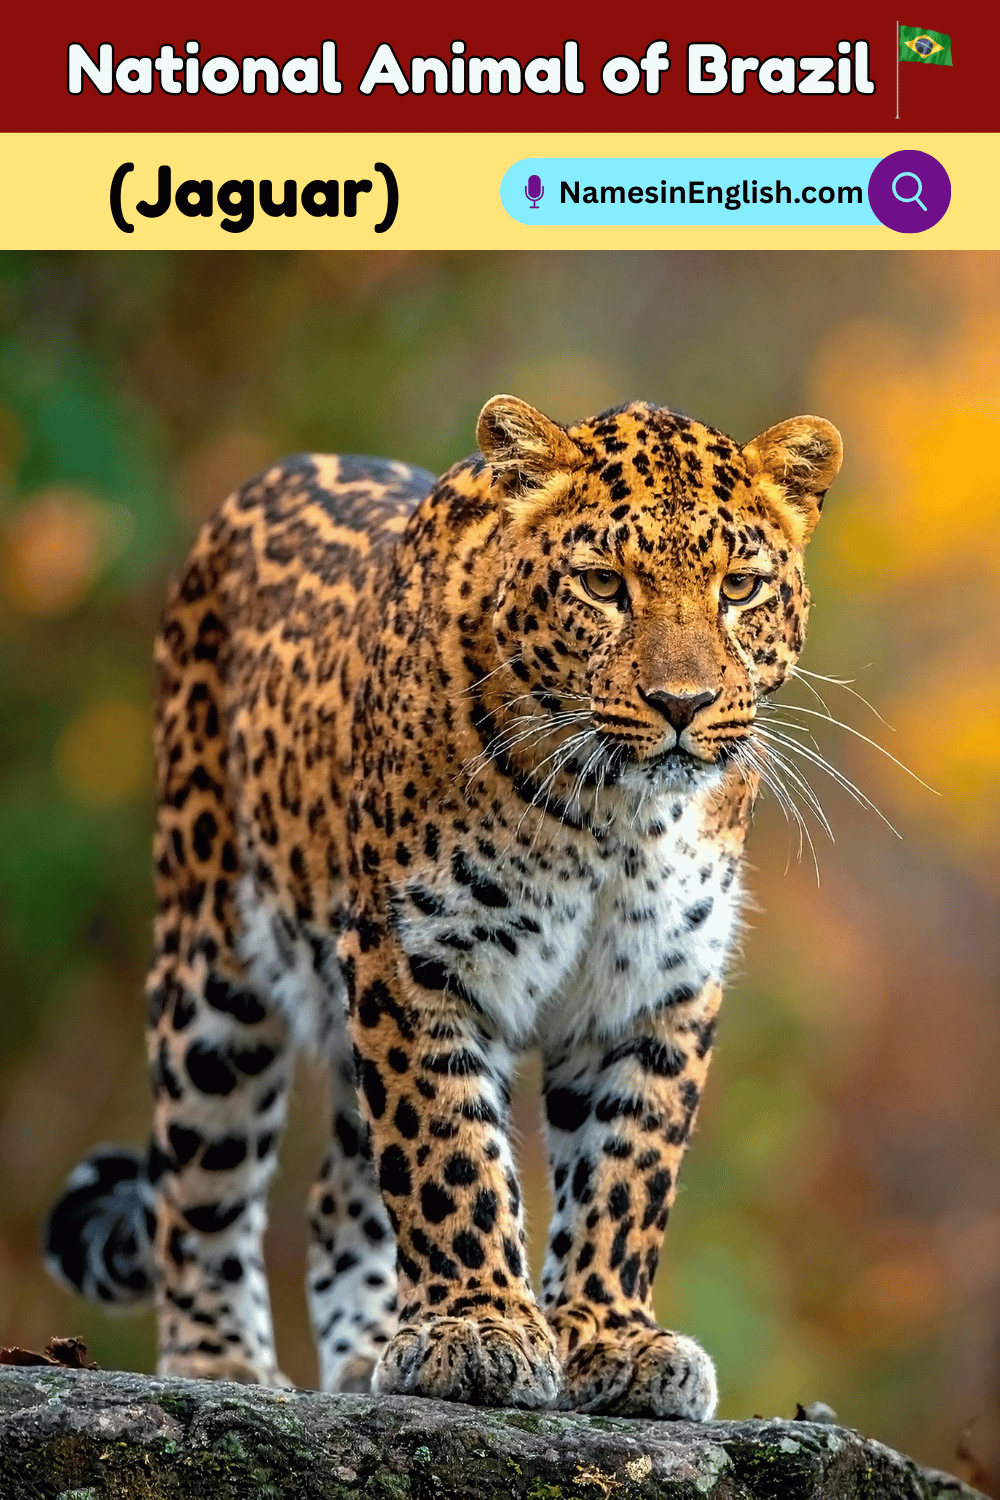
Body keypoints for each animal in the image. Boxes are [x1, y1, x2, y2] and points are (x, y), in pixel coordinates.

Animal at [45, 393, 842, 1418]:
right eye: (603, 584)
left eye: (739, 587)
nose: (682, 702)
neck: (618, 814)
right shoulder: (415, 953)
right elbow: (446, 1151)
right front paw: (478, 1326)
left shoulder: (657, 983)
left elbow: (627, 1169)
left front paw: (611, 1337)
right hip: (213, 962)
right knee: (201, 1184)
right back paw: (219, 1362)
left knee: (336, 1198)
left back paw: (364, 1353)